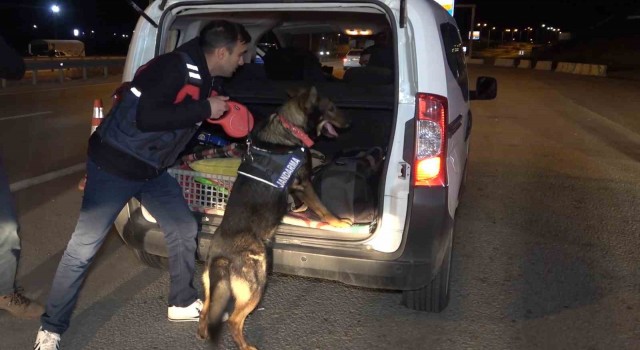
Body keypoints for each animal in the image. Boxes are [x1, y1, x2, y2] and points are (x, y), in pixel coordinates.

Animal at [198, 86, 352, 348]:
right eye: (331, 108)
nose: (349, 124)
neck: (290, 127)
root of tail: (221, 256)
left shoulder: (296, 189)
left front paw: (298, 211)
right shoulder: (304, 184)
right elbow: (323, 207)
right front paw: (338, 222)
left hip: (212, 286)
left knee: (206, 311)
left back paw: (202, 332)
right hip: (257, 281)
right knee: (234, 320)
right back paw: (246, 346)